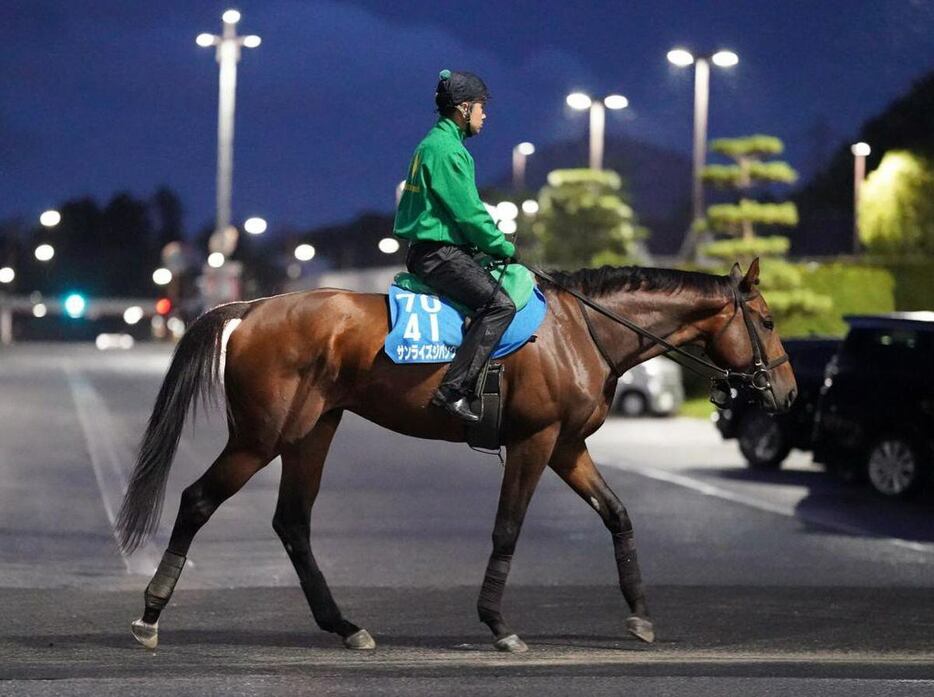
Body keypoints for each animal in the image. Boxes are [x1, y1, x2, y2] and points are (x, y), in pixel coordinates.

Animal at [115, 256, 796, 652]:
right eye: (765, 319)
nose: (787, 392)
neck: (581, 331)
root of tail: (254, 306)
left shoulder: (567, 445)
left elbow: (618, 515)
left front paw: (640, 614)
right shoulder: (535, 440)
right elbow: (507, 528)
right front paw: (497, 623)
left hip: (313, 432)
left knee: (293, 523)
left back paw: (344, 625)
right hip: (262, 437)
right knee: (198, 499)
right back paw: (149, 615)